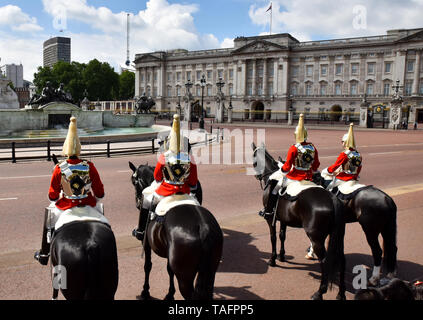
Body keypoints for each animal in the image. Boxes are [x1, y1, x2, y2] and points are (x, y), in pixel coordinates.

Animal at [127, 162, 224, 300]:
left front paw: (145, 291)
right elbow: (169, 270)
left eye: (134, 182)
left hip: (185, 278)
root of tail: (204, 229)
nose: (137, 202)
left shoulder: (146, 244)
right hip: (210, 272)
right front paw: (170, 294)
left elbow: (148, 266)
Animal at [252, 142, 348, 300]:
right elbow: (282, 236)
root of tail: (333, 199)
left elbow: (273, 238)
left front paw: (273, 259)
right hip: (338, 236)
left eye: (254, 161)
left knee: (325, 261)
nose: (257, 175)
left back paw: (319, 292)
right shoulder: (283, 219)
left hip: (316, 239)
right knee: (341, 260)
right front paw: (282, 256)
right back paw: (341, 294)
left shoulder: (271, 219)